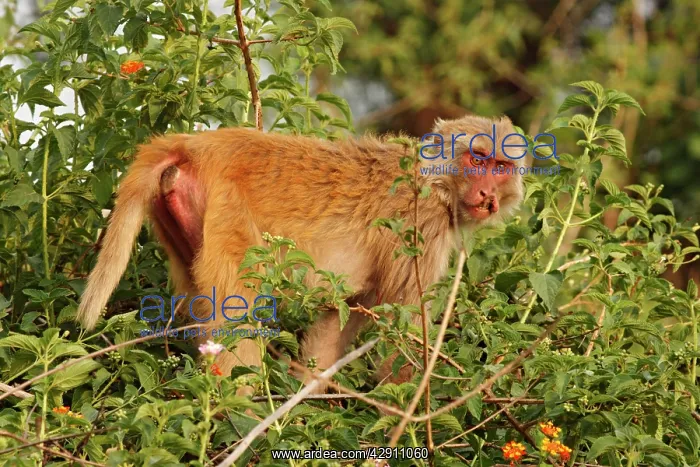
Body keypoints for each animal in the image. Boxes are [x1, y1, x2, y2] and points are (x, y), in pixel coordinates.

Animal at [76, 115, 524, 385]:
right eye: (478, 158)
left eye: (501, 166)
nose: (488, 195)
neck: (437, 181)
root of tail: (198, 147)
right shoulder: (420, 229)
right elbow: (401, 333)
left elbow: (337, 321)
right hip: (230, 215)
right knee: (238, 309)